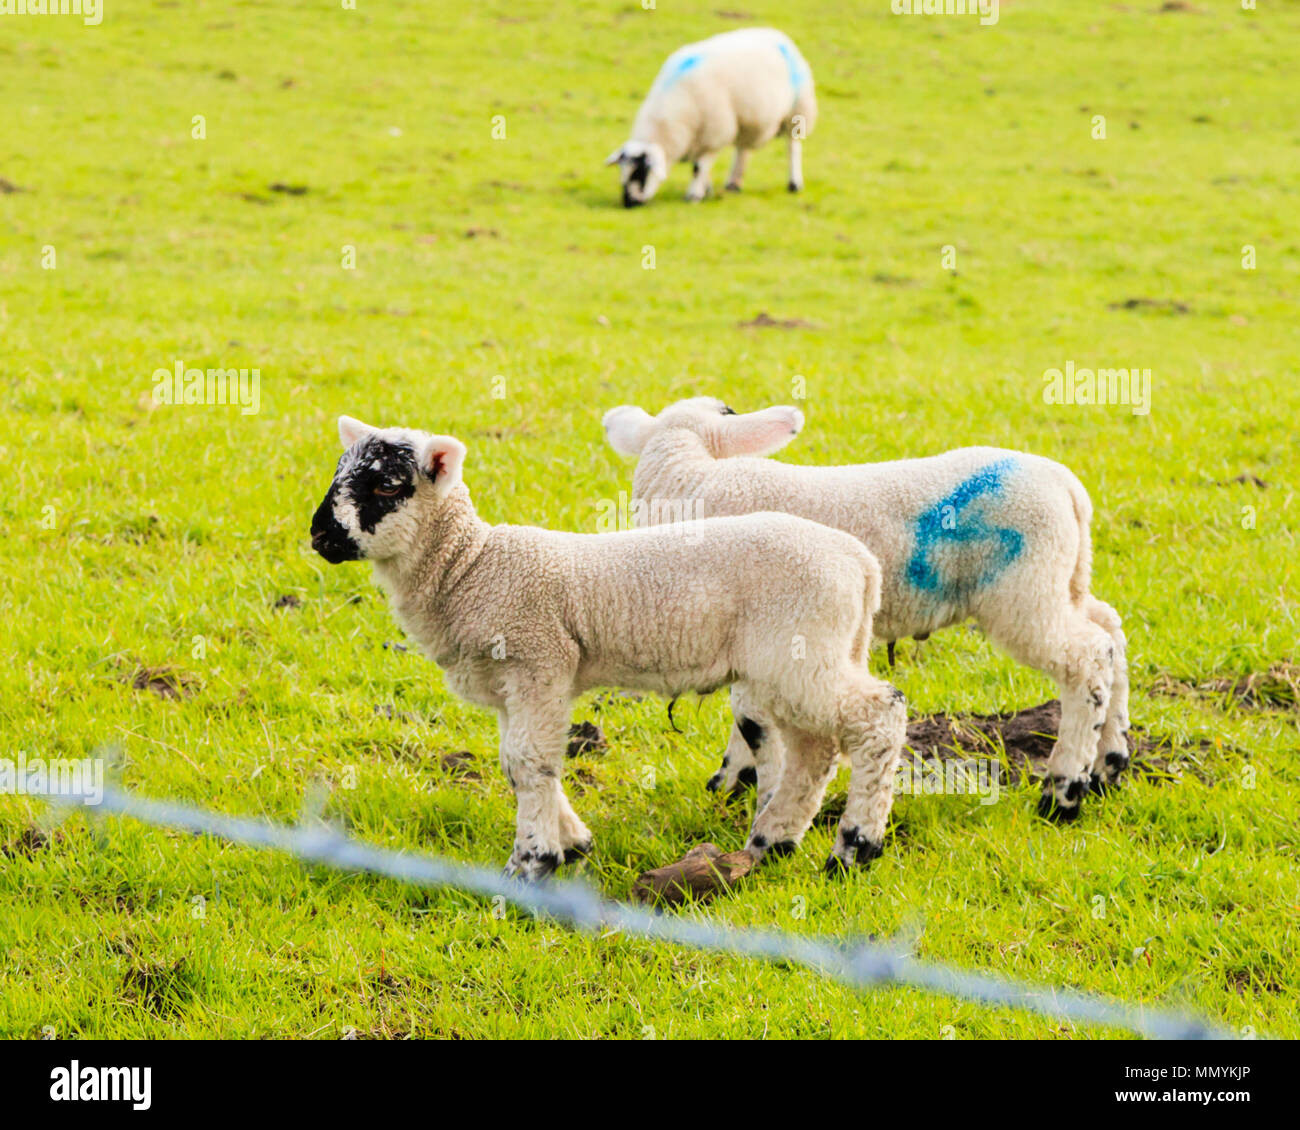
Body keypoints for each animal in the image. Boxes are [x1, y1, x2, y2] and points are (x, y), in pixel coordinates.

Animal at [310, 415, 907, 880]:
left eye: (388, 486)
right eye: (339, 473)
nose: (319, 536)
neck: (471, 565)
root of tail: (859, 564)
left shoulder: (539, 661)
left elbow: (528, 764)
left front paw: (532, 863)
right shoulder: (513, 685)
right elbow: (519, 763)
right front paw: (573, 841)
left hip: (798, 652)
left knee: (880, 715)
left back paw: (855, 848)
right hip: (807, 658)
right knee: (815, 750)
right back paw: (772, 842)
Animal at [603, 397, 1131, 823]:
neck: (690, 476)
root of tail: (1067, 485)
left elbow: (752, 718)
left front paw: (752, 791)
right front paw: (733, 782)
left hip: (1024, 590)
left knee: (1085, 658)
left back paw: (1064, 793)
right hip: (1065, 579)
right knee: (1109, 632)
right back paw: (1110, 763)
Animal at [605, 27, 817, 207]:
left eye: (640, 173)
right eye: (622, 172)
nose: (629, 203)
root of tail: (777, 34)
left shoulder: (715, 134)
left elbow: (698, 167)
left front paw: (693, 196)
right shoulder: (700, 137)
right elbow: (702, 167)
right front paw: (706, 190)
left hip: (797, 111)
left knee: (792, 147)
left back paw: (794, 184)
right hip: (747, 119)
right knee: (743, 149)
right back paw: (733, 184)